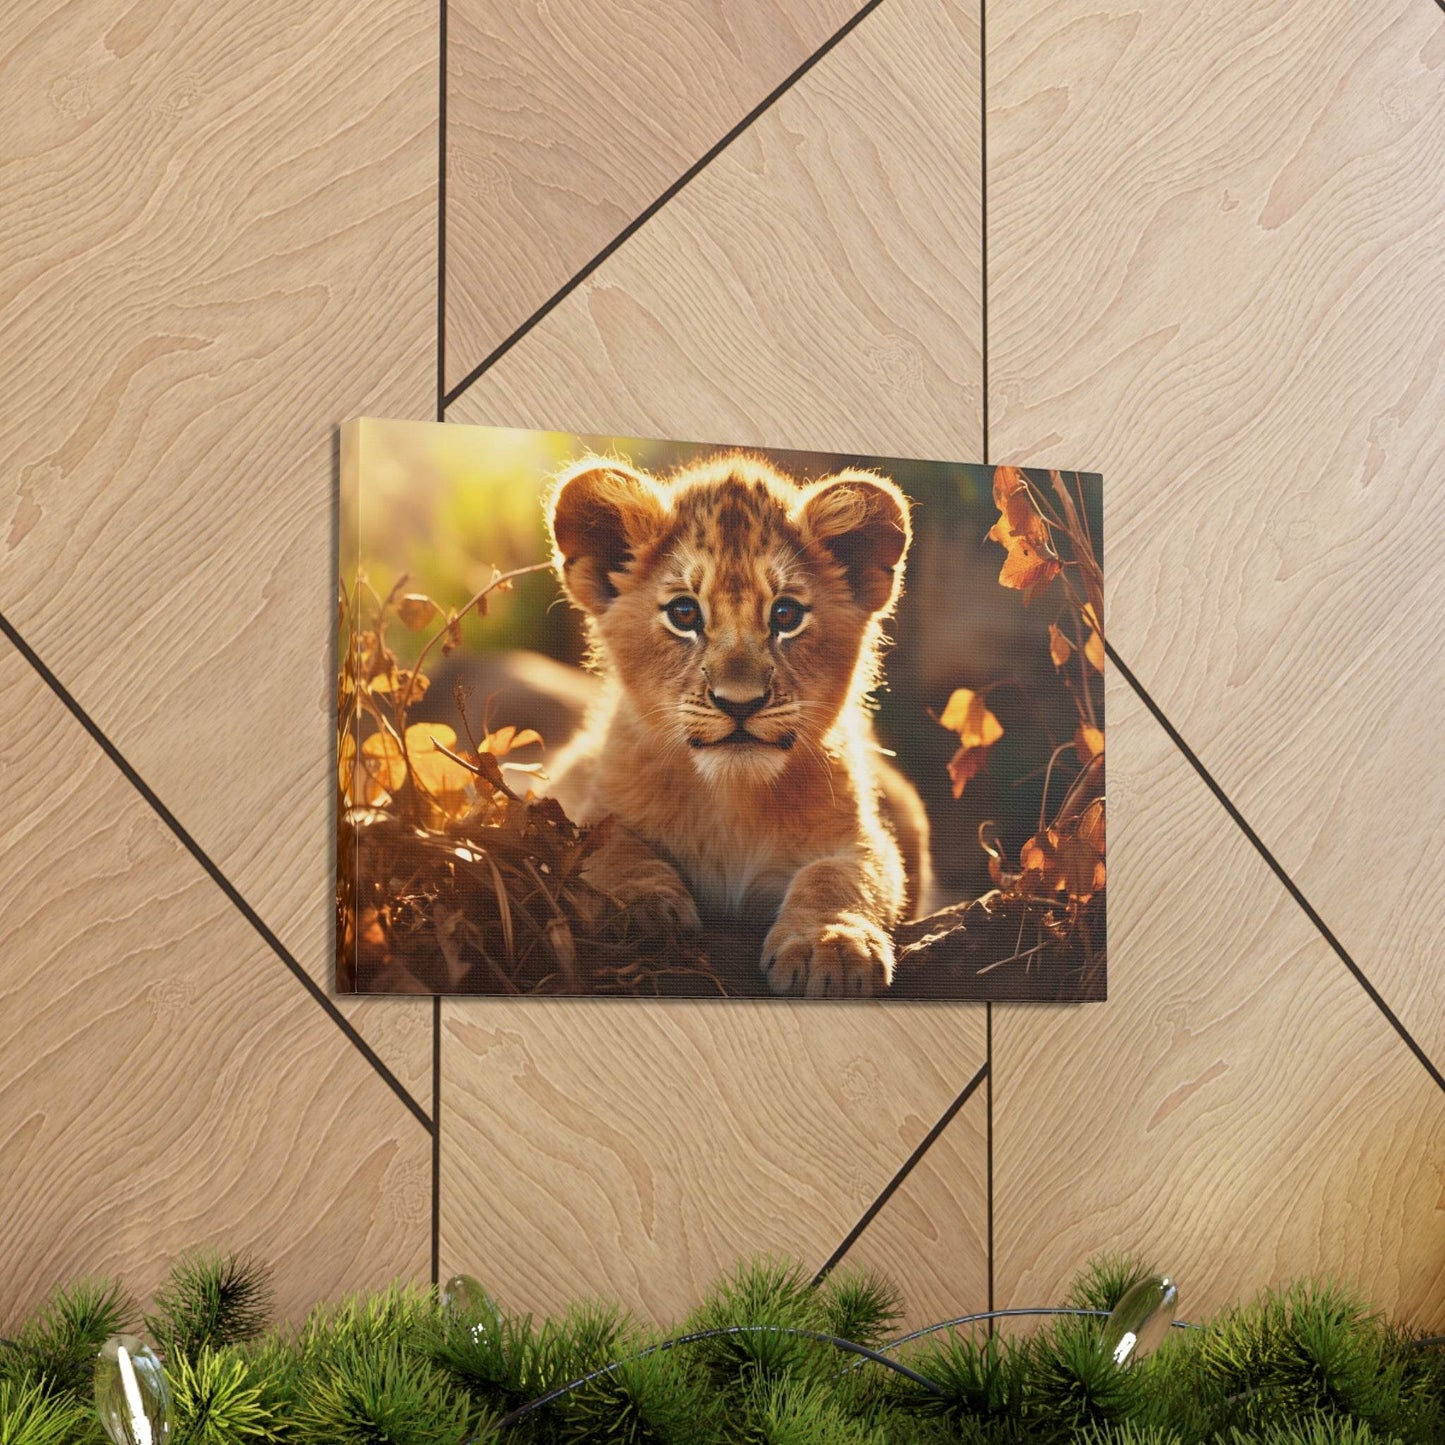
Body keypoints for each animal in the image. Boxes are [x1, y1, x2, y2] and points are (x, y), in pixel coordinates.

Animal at [544, 451, 933, 997]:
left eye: (786, 615)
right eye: (684, 612)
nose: (740, 703)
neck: (730, 799)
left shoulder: (861, 836)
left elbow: (841, 877)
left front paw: (831, 944)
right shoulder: (578, 800)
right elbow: (608, 848)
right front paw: (641, 908)